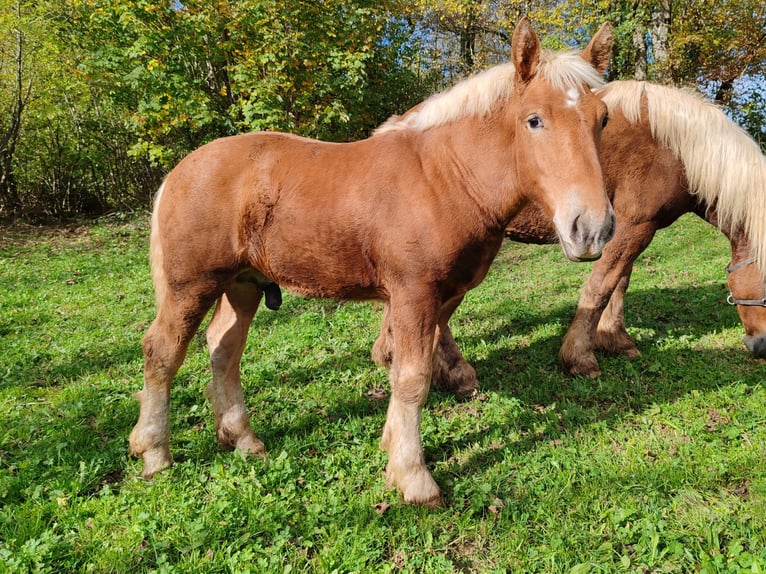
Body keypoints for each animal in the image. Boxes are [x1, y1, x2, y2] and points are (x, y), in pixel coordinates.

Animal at [127, 18, 616, 506]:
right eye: (534, 120)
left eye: (603, 119)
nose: (591, 227)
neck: (445, 178)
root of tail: (179, 172)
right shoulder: (414, 293)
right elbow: (413, 377)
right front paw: (413, 477)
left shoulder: (438, 297)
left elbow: (405, 369)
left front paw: (392, 449)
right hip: (191, 286)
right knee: (162, 352)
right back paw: (154, 453)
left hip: (242, 284)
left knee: (224, 349)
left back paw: (242, 438)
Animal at [376, 81, 766, 394]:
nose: (760, 346)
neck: (673, 150)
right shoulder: (635, 226)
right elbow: (602, 286)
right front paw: (579, 356)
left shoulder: (628, 227)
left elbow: (620, 282)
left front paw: (615, 340)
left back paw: (388, 351)